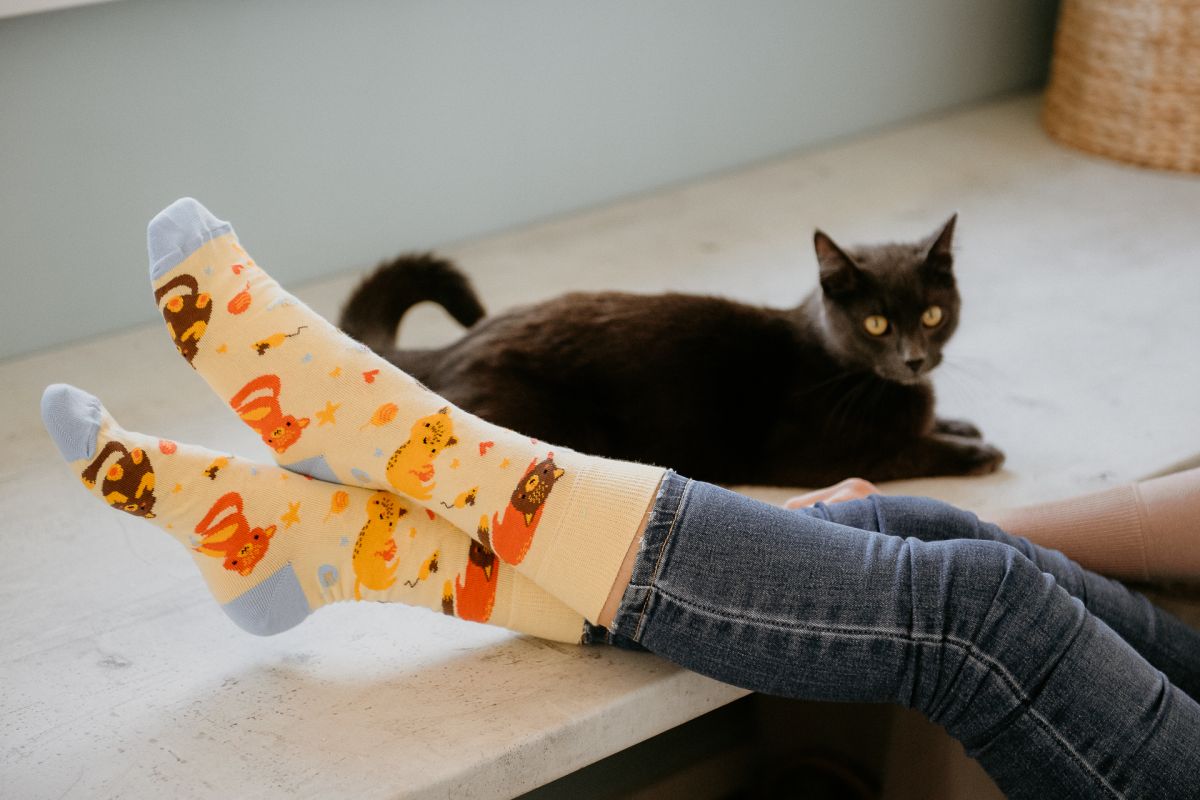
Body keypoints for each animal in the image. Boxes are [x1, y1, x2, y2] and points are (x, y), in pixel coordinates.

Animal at [339, 215, 1003, 486]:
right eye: (875, 325)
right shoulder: (810, 455)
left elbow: (923, 424)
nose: (914, 358)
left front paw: (960, 423)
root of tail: (457, 345)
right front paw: (974, 450)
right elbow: (904, 448)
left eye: (933, 316)